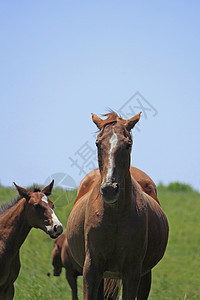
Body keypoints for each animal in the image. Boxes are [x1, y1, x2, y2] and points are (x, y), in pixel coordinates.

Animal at [67, 113, 169, 300]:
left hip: (145, 275)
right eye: (98, 143)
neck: (115, 217)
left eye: (128, 143)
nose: (109, 189)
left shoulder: (132, 272)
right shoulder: (91, 269)